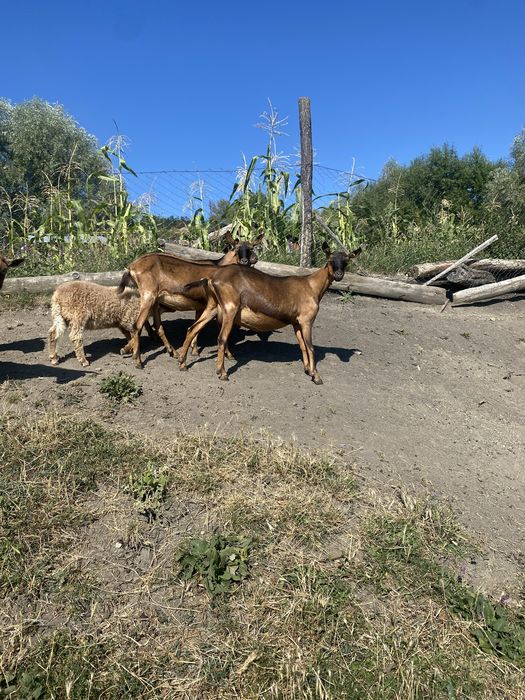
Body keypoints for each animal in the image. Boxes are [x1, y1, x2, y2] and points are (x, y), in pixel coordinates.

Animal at [117, 232, 263, 368]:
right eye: (236, 248)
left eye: (251, 248)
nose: (247, 261)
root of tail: (132, 267)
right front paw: (229, 354)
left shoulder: (201, 305)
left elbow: (196, 327)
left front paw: (194, 351)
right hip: (149, 296)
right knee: (137, 325)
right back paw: (137, 359)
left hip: (153, 300)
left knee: (156, 326)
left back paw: (170, 351)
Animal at [177, 242, 364, 384]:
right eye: (330, 259)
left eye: (347, 261)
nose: (338, 274)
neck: (311, 286)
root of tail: (212, 277)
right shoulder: (306, 320)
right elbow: (310, 347)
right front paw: (316, 376)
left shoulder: (296, 322)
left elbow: (302, 345)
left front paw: (307, 370)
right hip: (230, 308)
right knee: (221, 338)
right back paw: (222, 373)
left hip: (213, 306)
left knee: (192, 328)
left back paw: (182, 363)